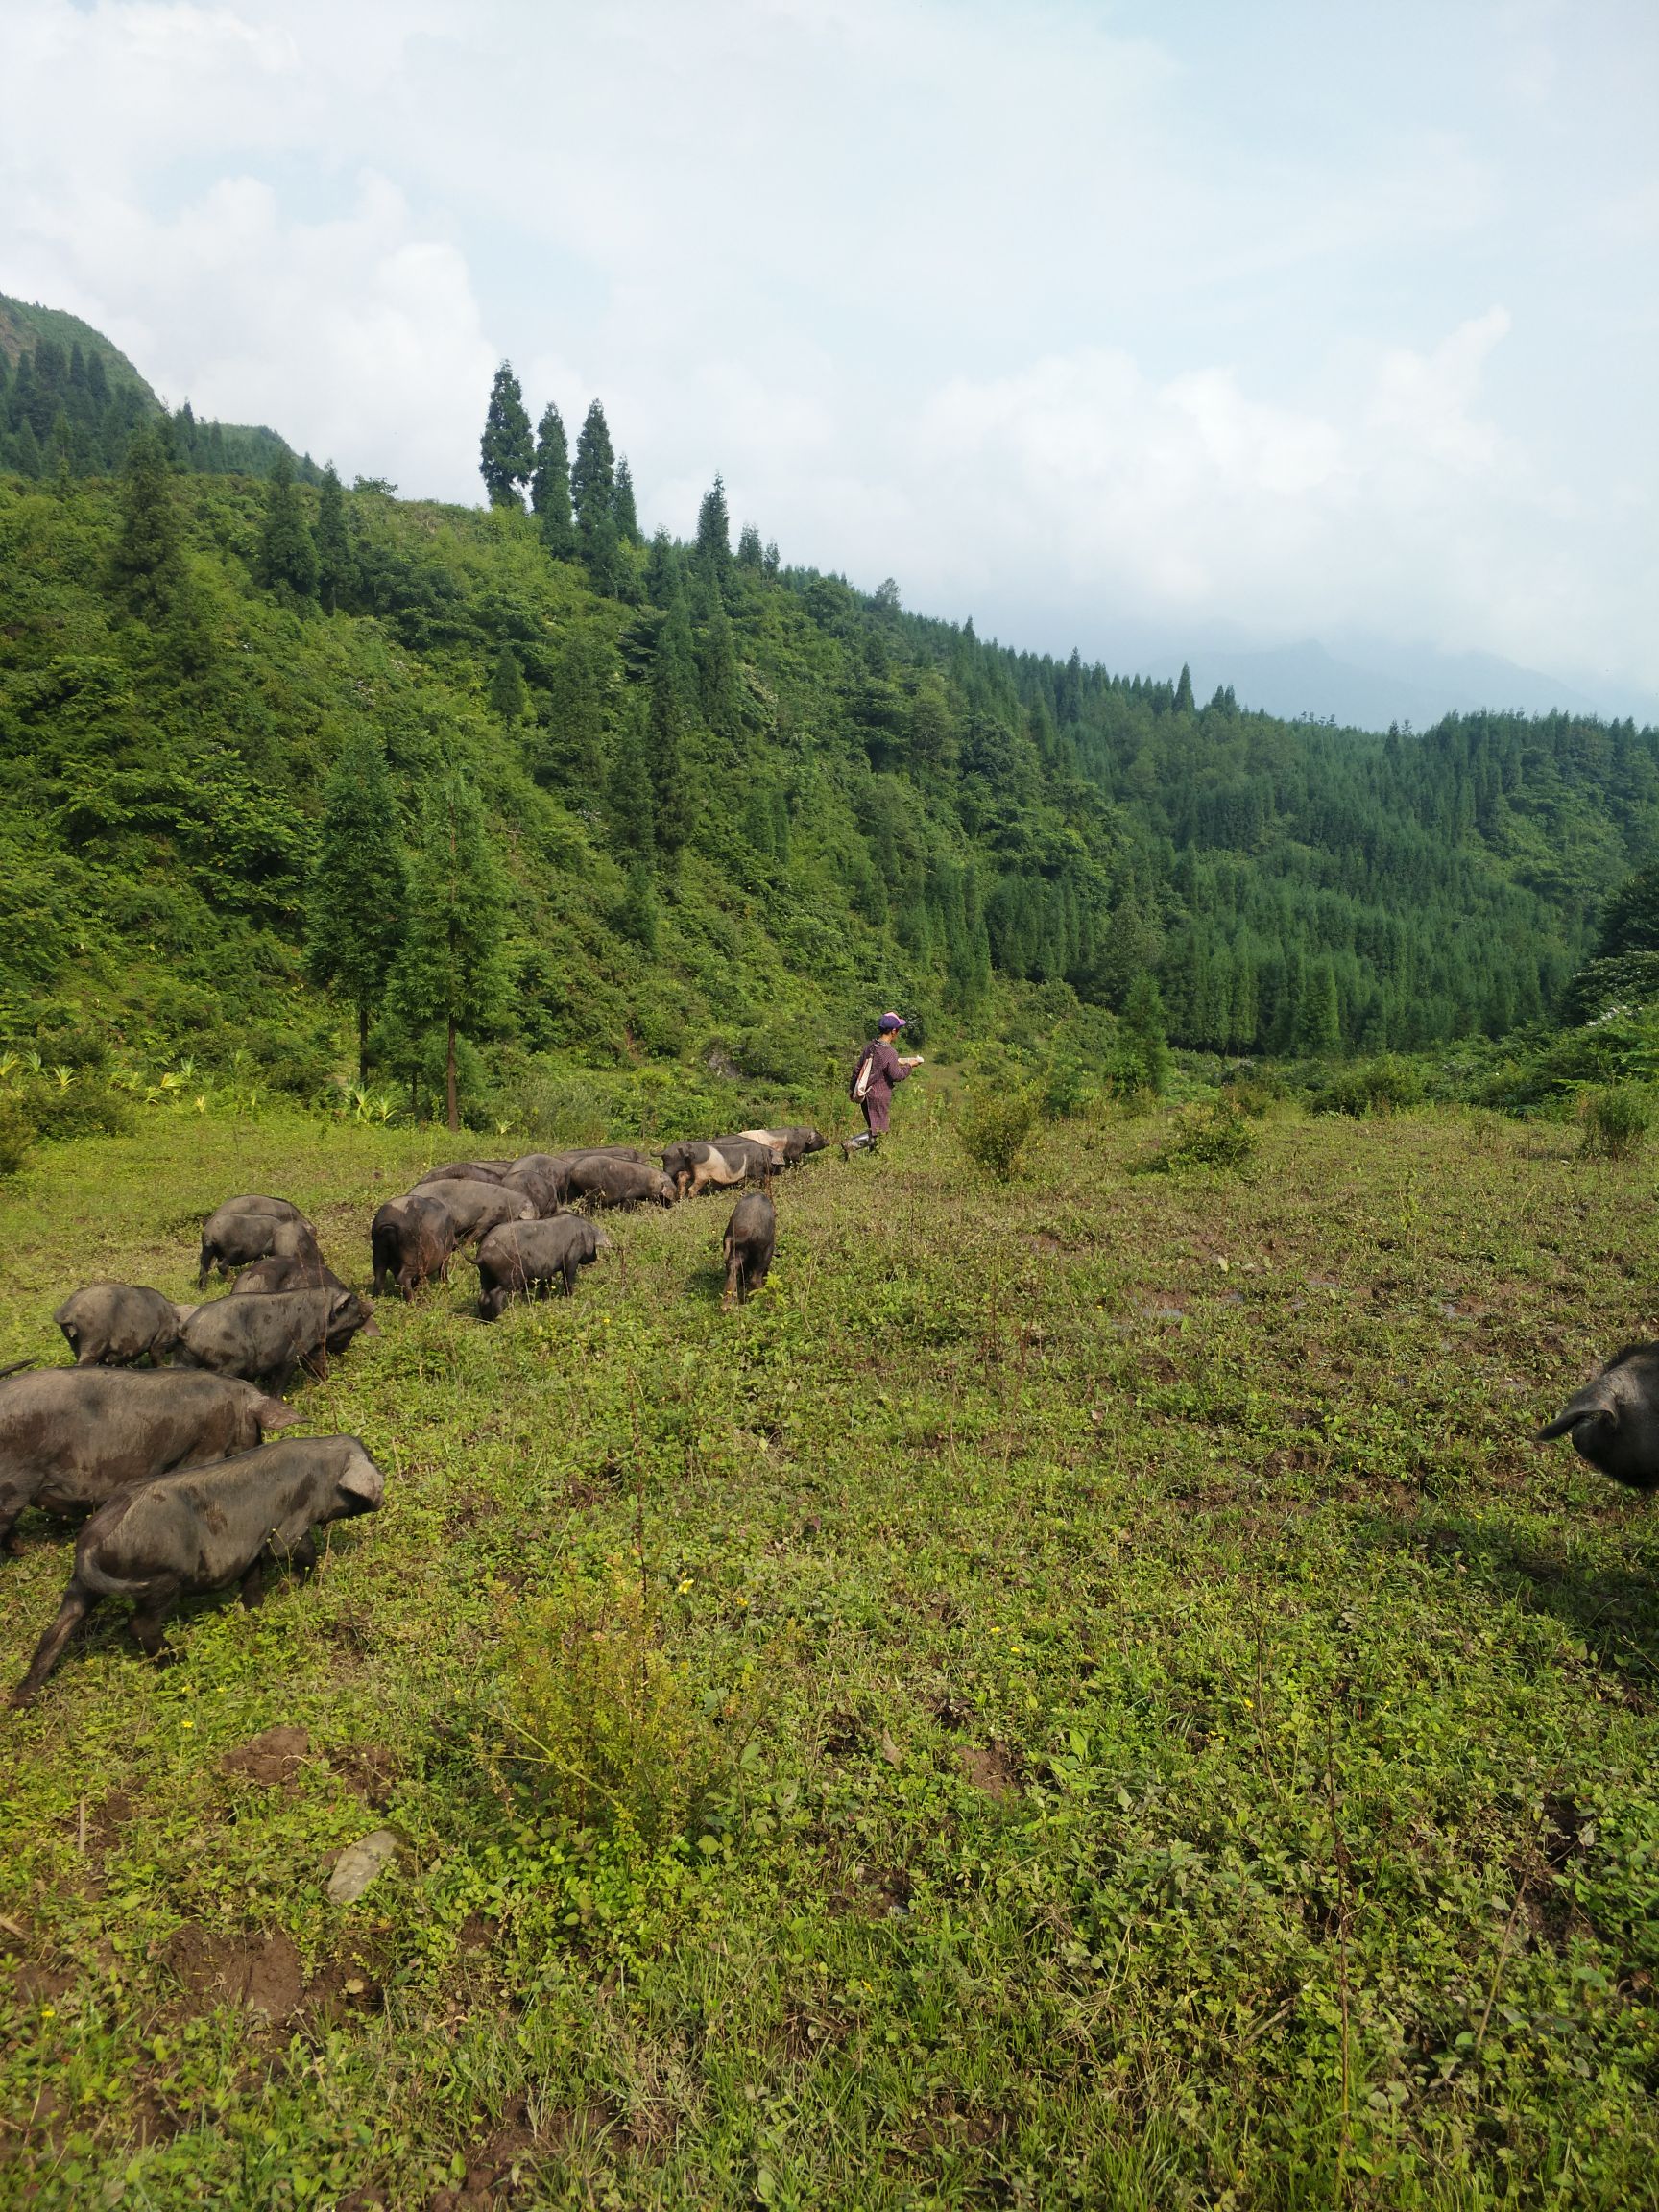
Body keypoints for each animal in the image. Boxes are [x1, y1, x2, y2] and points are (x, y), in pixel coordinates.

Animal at [11, 1432, 387, 1707]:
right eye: (369, 1459)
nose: (383, 1494)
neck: (324, 1473)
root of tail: (90, 1543)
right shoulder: (289, 1528)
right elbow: (299, 1553)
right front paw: (287, 1588)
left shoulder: (250, 1549)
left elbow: (252, 1579)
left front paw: (257, 1609)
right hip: (162, 1580)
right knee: (140, 1625)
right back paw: (178, 1660)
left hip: (81, 1587)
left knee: (55, 1631)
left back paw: (21, 1701)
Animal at [473, 1212, 610, 1309]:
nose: (595, 1258)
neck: (584, 1232)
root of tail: (482, 1255)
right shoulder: (571, 1259)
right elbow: (568, 1279)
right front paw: (571, 1297)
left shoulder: (545, 1271)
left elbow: (546, 1284)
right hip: (508, 1279)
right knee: (496, 1295)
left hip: (485, 1277)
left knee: (482, 1297)